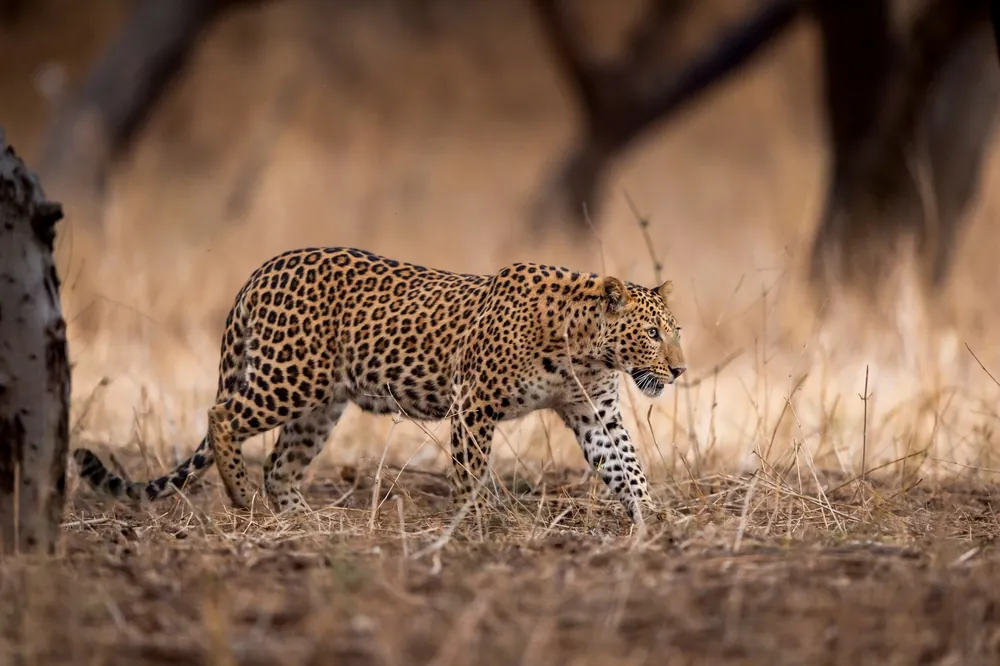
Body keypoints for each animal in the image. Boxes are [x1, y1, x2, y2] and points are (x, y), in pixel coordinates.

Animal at [73, 246, 687, 523]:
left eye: (674, 332)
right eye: (652, 334)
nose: (680, 370)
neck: (584, 348)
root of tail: (260, 271)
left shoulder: (594, 411)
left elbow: (627, 465)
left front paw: (653, 517)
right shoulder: (474, 403)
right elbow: (470, 471)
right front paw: (474, 519)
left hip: (320, 405)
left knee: (279, 464)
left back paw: (302, 519)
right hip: (289, 378)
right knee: (221, 416)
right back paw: (242, 498)